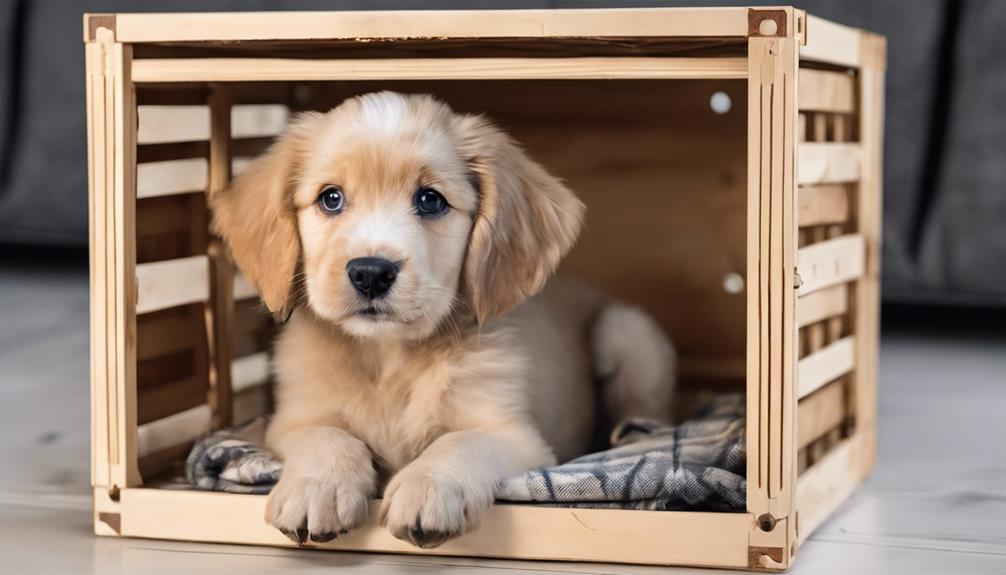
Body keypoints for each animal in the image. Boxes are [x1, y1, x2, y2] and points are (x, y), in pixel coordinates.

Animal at [210, 90, 676, 546]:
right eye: (331, 197)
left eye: (430, 200)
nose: (370, 273)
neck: (390, 357)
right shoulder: (290, 420)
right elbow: (327, 434)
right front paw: (317, 486)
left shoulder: (518, 437)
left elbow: (460, 440)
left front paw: (429, 487)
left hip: (626, 331)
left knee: (649, 414)